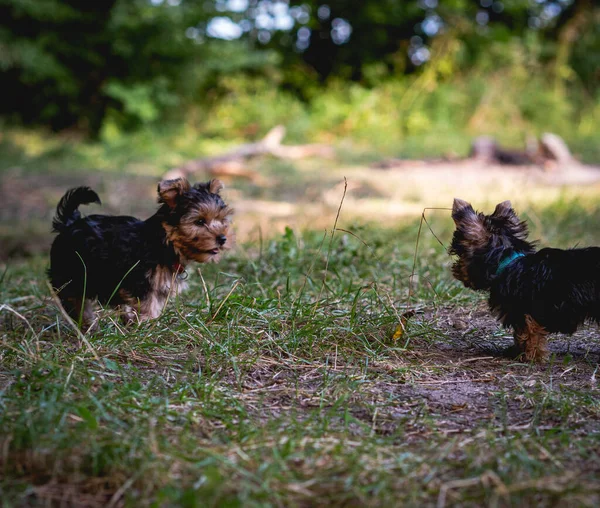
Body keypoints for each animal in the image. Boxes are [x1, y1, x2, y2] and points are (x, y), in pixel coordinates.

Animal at [49, 179, 234, 330]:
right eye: (200, 221)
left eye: (222, 220)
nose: (223, 238)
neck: (164, 243)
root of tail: (69, 224)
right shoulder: (141, 281)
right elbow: (148, 304)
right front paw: (149, 325)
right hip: (70, 274)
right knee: (76, 302)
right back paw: (89, 324)